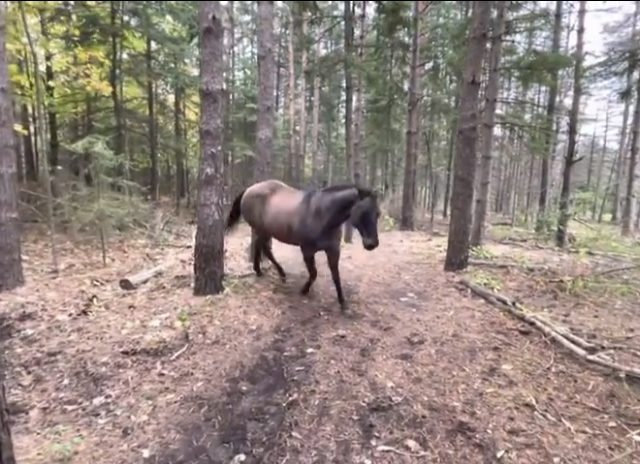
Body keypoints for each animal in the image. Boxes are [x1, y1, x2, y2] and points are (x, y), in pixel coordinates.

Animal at [224, 179, 381, 311]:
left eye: (378, 213)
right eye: (363, 212)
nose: (372, 244)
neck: (323, 215)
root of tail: (249, 189)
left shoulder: (333, 250)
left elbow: (336, 275)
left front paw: (342, 302)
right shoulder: (307, 250)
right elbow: (314, 273)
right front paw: (304, 290)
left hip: (264, 231)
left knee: (260, 247)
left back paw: (262, 271)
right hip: (261, 229)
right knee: (264, 248)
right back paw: (276, 272)